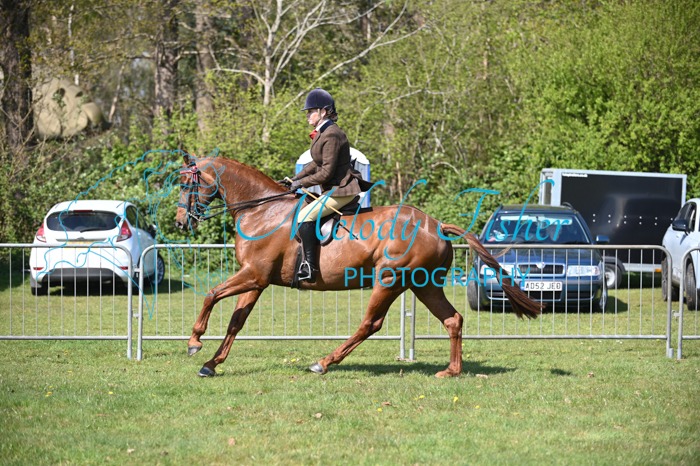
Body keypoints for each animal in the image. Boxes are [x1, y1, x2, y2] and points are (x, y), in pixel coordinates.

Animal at [174, 152, 542, 378]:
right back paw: (451, 371)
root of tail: (435, 224)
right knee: (452, 319)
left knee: (371, 324)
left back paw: (324, 362)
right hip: (423, 284)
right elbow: (236, 321)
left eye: (185, 183)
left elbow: (210, 294)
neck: (261, 210)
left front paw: (194, 342)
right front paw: (211, 363)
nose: (180, 222)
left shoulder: (253, 274)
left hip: (390, 279)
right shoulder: (257, 280)